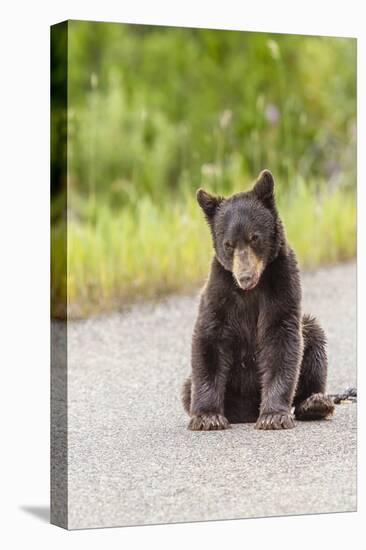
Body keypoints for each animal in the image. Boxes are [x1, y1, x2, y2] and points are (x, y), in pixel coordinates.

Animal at [183, 170, 334, 434]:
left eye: (254, 237)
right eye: (228, 244)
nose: (245, 277)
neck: (249, 292)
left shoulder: (281, 285)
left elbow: (281, 338)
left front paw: (273, 416)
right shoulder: (220, 292)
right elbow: (209, 339)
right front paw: (207, 417)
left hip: (309, 334)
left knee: (313, 340)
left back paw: (314, 403)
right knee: (187, 388)